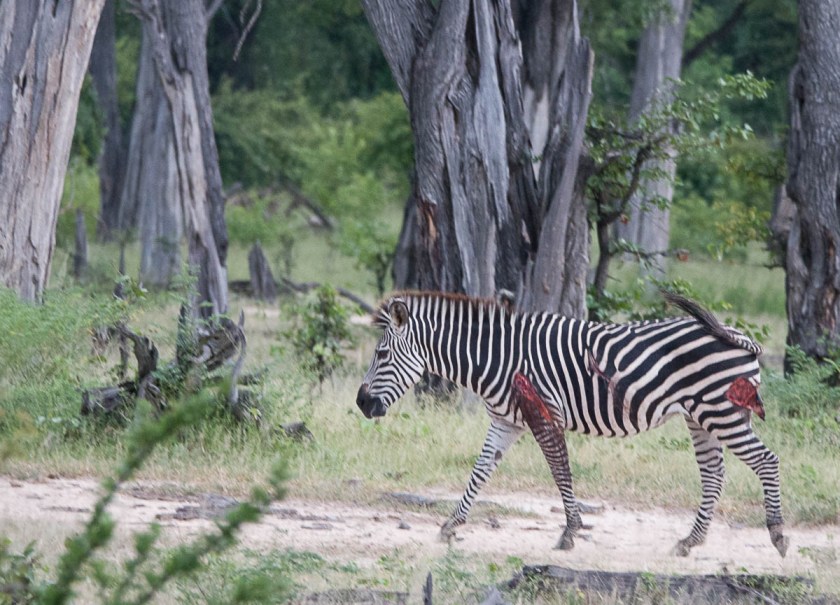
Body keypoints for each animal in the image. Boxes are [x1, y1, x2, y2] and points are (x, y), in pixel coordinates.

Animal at [355, 291, 788, 557]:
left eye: (382, 354)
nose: (361, 403)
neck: (496, 358)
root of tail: (739, 335)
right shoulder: (505, 422)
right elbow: (479, 473)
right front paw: (450, 526)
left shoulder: (544, 412)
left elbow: (560, 470)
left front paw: (569, 533)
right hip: (701, 416)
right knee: (714, 474)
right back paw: (689, 542)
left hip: (721, 412)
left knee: (766, 461)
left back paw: (778, 535)